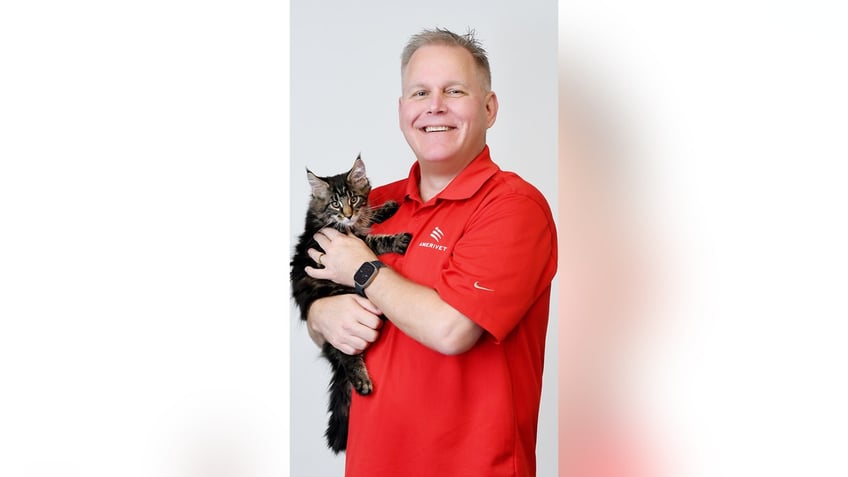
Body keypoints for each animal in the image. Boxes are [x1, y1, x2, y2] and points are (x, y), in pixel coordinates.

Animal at [290, 155, 412, 454]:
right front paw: (398, 239)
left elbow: (370, 215)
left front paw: (387, 207)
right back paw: (362, 381)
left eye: (354, 199)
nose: (347, 214)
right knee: (348, 357)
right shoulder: (339, 244)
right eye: (335, 204)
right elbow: (373, 242)